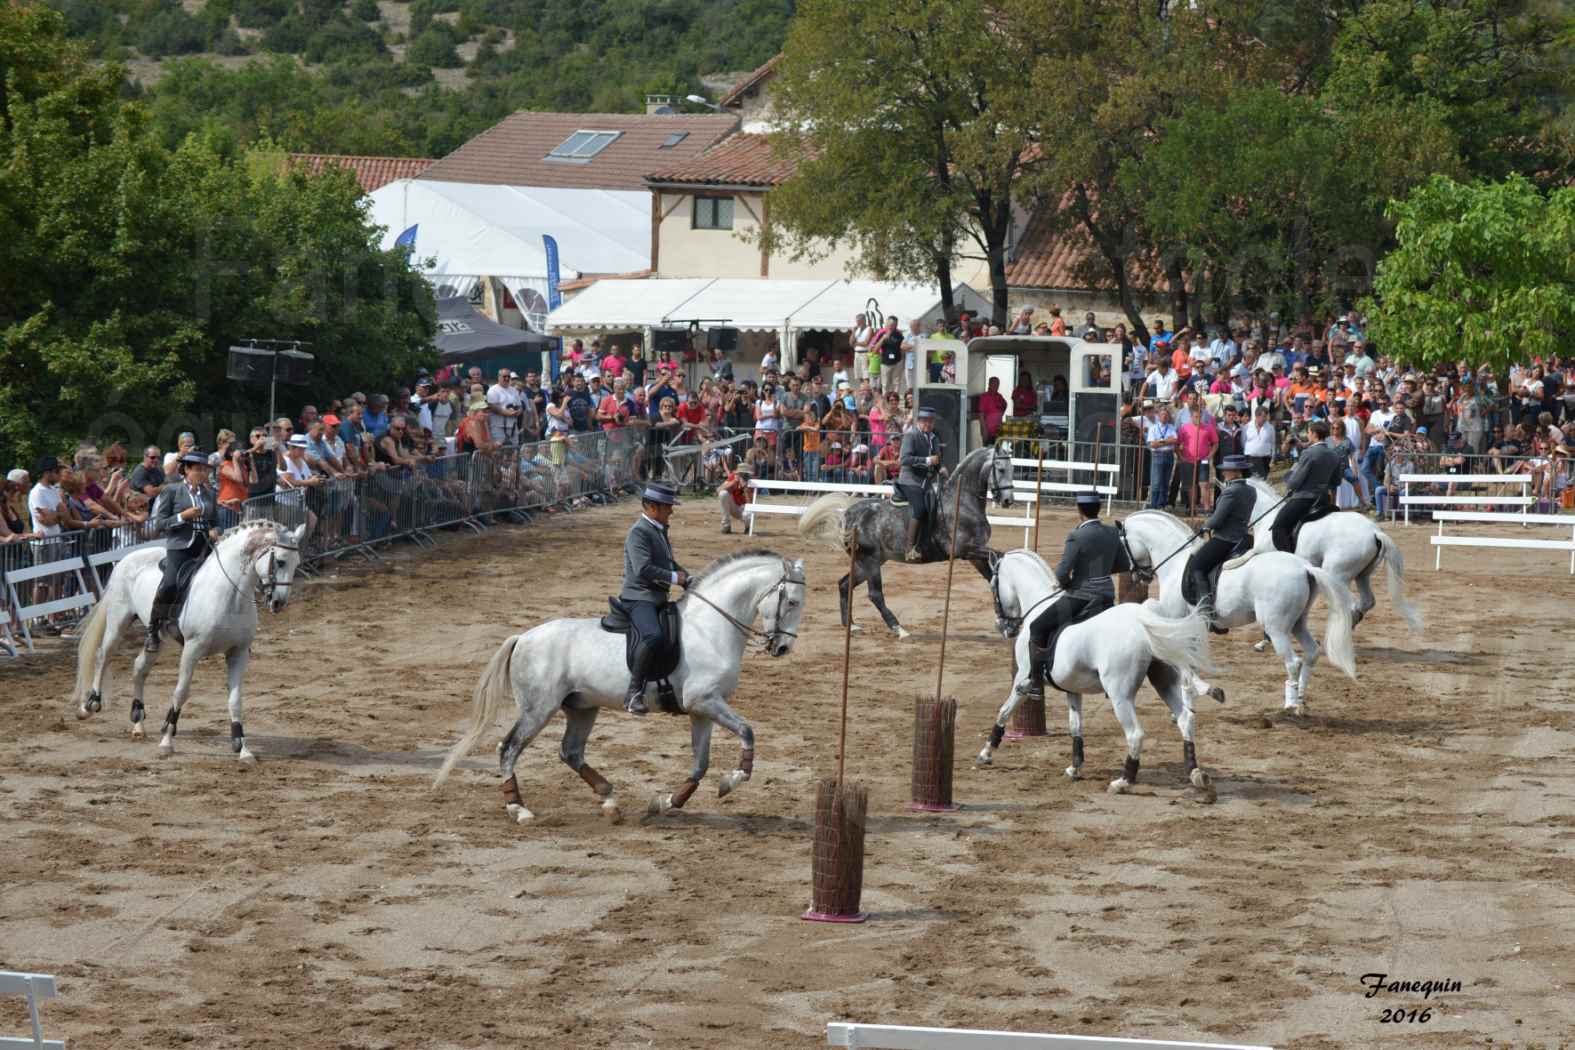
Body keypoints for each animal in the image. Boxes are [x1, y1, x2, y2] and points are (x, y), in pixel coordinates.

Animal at [70, 519, 310, 758]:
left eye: (296, 563)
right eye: (280, 562)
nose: (279, 603)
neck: (229, 594)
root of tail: (126, 558)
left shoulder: (238, 652)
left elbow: (235, 699)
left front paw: (242, 747)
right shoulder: (193, 649)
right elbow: (181, 692)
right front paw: (167, 740)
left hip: (156, 639)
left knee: (139, 668)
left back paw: (138, 724)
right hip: (119, 621)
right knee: (103, 655)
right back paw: (90, 705)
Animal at [434, 550, 806, 831]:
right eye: (790, 601)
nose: (783, 648)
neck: (710, 628)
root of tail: (523, 637)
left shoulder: (702, 710)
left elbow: (700, 764)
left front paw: (665, 802)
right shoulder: (706, 702)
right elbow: (747, 731)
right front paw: (734, 779)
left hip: (582, 707)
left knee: (570, 752)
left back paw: (610, 800)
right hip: (538, 709)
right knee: (509, 748)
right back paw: (520, 810)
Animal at [982, 550, 1215, 796]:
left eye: (993, 585)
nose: (1003, 627)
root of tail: (1144, 621)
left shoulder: (1022, 678)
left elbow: (1004, 711)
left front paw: (986, 753)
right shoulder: (1072, 689)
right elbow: (1075, 726)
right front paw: (1075, 768)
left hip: (1120, 695)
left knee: (1135, 734)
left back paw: (1123, 781)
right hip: (1164, 681)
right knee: (1185, 719)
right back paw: (1196, 773)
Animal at [1127, 510, 1360, 714]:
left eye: (1124, 543)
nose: (1139, 576)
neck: (1175, 563)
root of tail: (1304, 567)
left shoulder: (1176, 620)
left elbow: (1180, 657)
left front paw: (1204, 692)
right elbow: (1188, 661)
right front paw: (1191, 700)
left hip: (1276, 628)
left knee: (1293, 662)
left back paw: (1291, 704)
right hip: (1297, 623)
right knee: (1312, 651)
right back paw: (1301, 700)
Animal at [1247, 475, 1423, 632]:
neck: (1267, 518)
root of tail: (1375, 532)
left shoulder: (1263, 555)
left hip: (1337, 574)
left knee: (1347, 603)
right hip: (1362, 575)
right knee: (1366, 601)